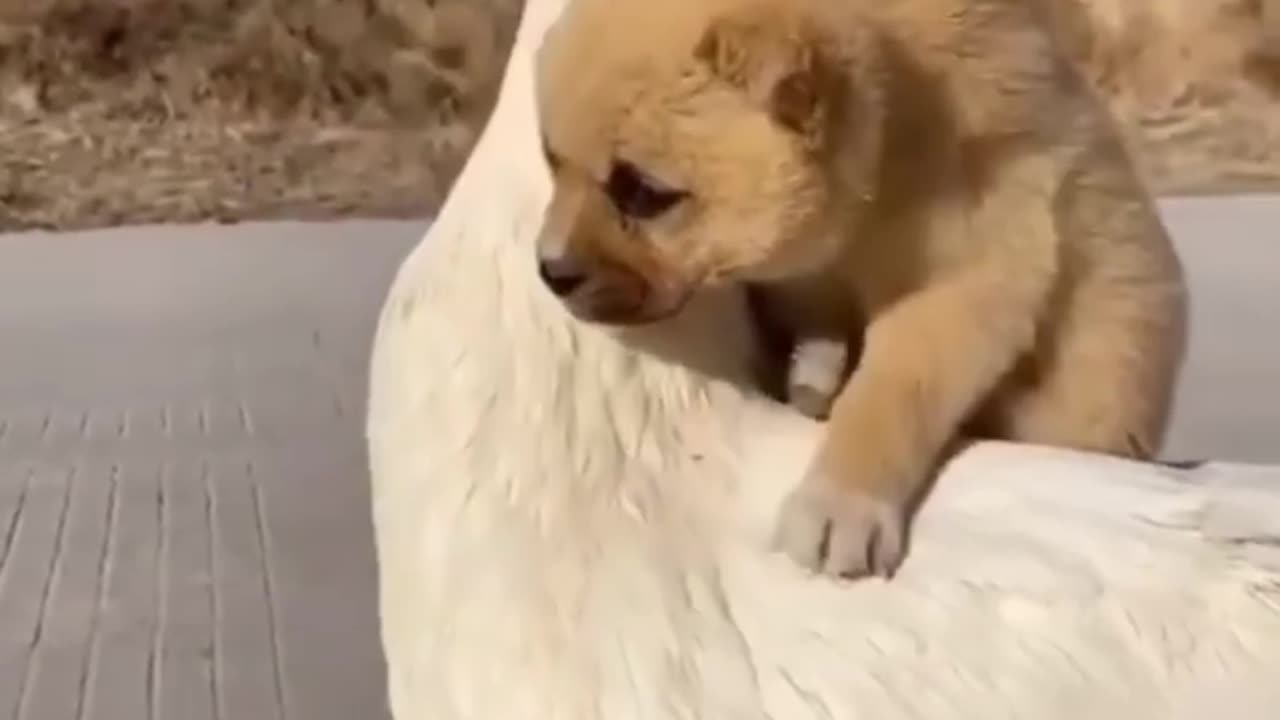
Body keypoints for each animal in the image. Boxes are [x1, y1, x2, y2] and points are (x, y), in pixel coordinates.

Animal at [532, 0, 1187, 576]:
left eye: (644, 193)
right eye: (552, 161)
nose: (550, 271)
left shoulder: (974, 258)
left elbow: (893, 389)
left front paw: (839, 505)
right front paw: (812, 373)